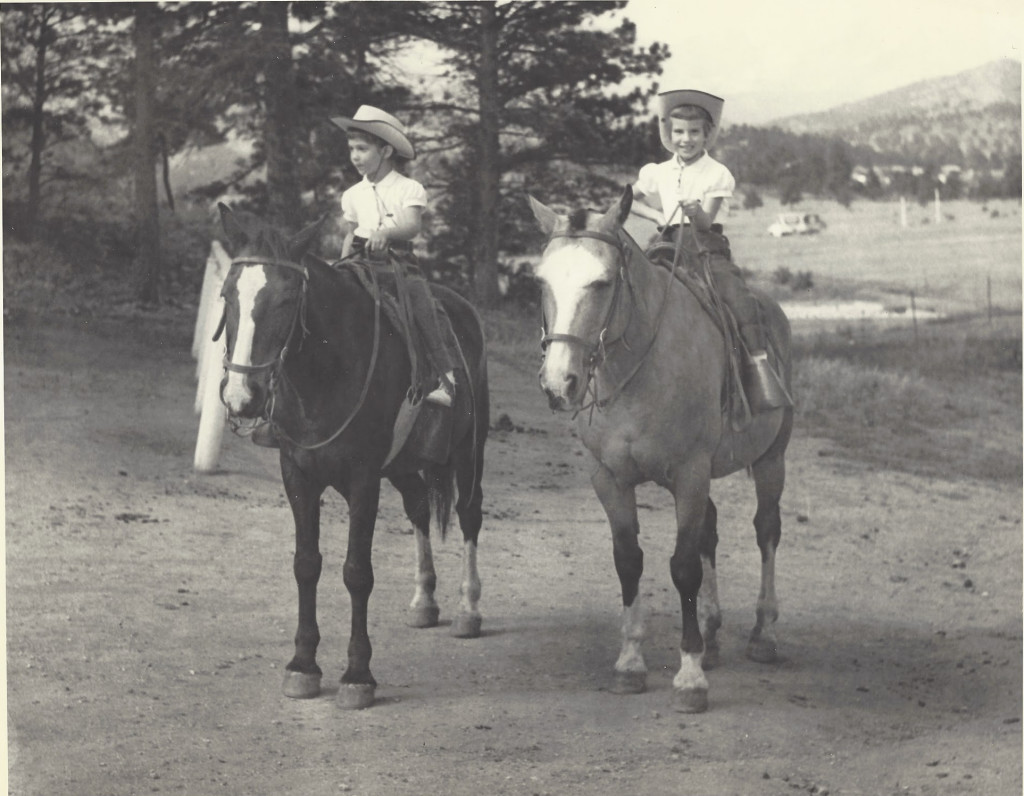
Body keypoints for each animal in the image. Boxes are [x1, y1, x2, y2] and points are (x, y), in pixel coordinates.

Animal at [215, 204, 487, 708]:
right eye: (227, 295)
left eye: (287, 300)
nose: (243, 395)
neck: (325, 373)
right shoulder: (297, 475)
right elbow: (306, 565)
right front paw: (302, 666)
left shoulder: (364, 480)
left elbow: (357, 572)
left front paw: (358, 675)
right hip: (403, 467)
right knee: (419, 507)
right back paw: (424, 601)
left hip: (469, 450)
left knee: (469, 515)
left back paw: (468, 608)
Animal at [528, 186, 790, 713]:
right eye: (541, 280)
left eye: (602, 282)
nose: (559, 383)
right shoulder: (609, 479)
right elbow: (629, 560)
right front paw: (631, 663)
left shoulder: (689, 474)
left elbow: (684, 567)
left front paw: (689, 677)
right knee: (711, 531)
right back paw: (711, 636)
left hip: (772, 459)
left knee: (766, 531)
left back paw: (763, 634)